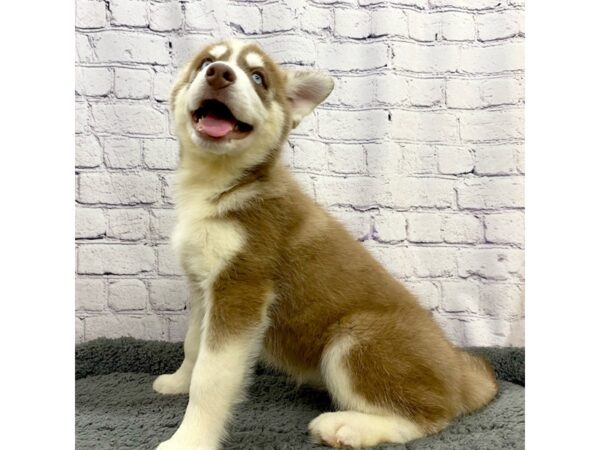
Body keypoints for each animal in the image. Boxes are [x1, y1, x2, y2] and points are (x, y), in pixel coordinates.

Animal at [152, 40, 500, 448]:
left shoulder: (242, 288)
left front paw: (188, 439)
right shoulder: (204, 288)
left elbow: (211, 377)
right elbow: (194, 345)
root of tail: (460, 372)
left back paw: (348, 426)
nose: (219, 73)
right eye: (207, 60)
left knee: (431, 415)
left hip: (356, 338)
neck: (221, 186)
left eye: (258, 77)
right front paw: (178, 381)